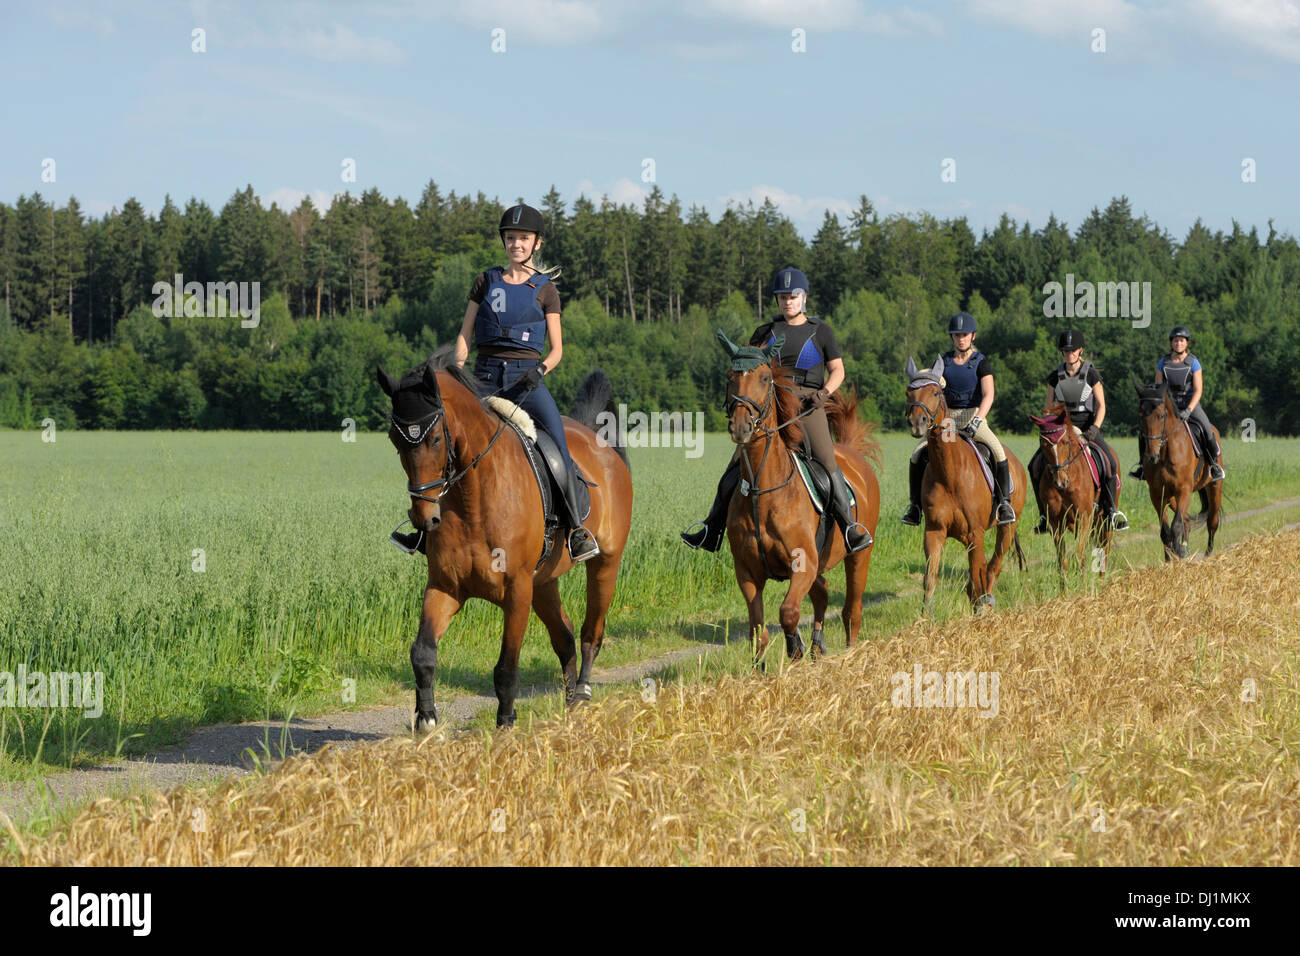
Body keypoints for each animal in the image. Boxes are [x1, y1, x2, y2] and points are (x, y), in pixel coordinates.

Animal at [377, 356, 634, 723]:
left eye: (436, 440)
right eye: (394, 440)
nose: (423, 517)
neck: (474, 500)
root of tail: (598, 443)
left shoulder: (517, 591)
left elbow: (506, 669)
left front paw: (505, 724)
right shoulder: (445, 586)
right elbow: (422, 653)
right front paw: (426, 720)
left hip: (605, 565)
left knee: (590, 633)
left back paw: (583, 693)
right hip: (544, 583)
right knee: (565, 638)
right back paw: (570, 703)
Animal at [722, 335, 883, 665]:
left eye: (765, 378)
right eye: (730, 377)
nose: (741, 426)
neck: (762, 492)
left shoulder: (803, 564)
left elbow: (788, 612)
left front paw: (794, 647)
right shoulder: (746, 572)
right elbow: (758, 632)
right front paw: (765, 667)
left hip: (858, 556)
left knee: (851, 610)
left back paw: (848, 655)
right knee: (822, 594)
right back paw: (818, 646)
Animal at [904, 358, 1024, 613]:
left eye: (936, 392)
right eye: (909, 392)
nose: (917, 423)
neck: (950, 474)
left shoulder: (975, 533)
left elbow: (979, 572)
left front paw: (981, 608)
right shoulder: (934, 531)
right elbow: (930, 576)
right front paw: (926, 615)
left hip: (1007, 527)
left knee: (994, 565)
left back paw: (987, 600)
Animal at [1029, 400, 1112, 587]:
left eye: (1065, 442)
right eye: (1043, 445)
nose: (1060, 482)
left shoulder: (1085, 518)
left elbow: (1079, 555)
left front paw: (1084, 586)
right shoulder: (1055, 522)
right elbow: (1063, 560)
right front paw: (1064, 589)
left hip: (1104, 521)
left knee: (1105, 548)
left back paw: (1102, 581)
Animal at [1133, 382, 1222, 561]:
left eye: (1161, 415)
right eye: (1140, 416)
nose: (1151, 455)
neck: (1165, 453)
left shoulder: (1184, 490)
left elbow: (1175, 527)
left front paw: (1178, 553)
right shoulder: (1157, 494)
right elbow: (1165, 531)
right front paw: (1170, 558)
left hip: (1214, 488)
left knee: (1212, 522)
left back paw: (1207, 554)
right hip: (1171, 497)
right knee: (1186, 521)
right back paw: (1185, 548)